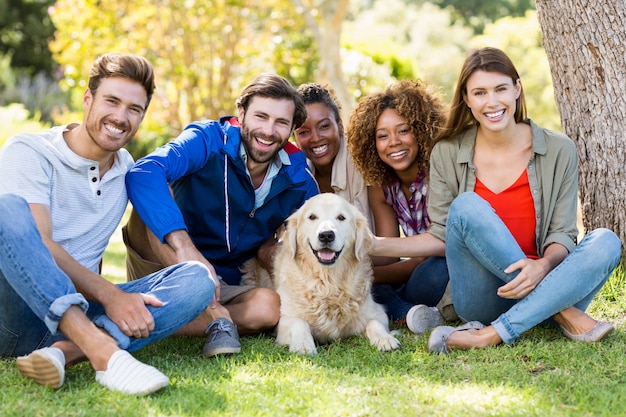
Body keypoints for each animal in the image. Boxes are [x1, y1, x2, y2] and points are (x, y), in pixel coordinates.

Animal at [241, 193, 398, 354]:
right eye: (312, 217)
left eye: (341, 217)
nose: (326, 235)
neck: (328, 284)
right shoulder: (285, 319)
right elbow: (299, 323)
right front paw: (303, 345)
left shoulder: (378, 312)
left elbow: (374, 323)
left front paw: (385, 339)